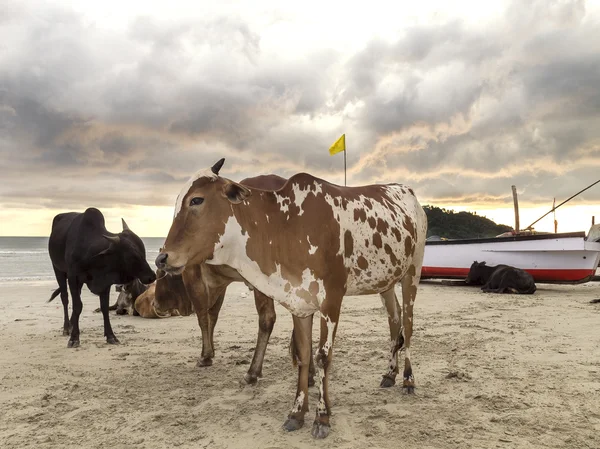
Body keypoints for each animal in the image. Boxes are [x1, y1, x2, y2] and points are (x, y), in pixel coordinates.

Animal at [48, 206, 156, 346]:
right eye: (132, 255)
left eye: (143, 252)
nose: (152, 276)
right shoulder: (73, 277)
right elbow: (77, 306)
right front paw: (74, 338)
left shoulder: (105, 283)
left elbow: (104, 308)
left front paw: (111, 336)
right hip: (58, 270)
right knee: (65, 298)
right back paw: (67, 328)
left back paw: (71, 324)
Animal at [155, 159, 426, 440]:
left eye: (196, 200)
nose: (162, 258)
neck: (286, 224)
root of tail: (407, 191)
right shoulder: (300, 303)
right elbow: (303, 354)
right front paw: (297, 412)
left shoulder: (331, 301)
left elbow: (323, 357)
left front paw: (322, 417)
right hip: (386, 282)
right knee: (394, 321)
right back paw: (390, 374)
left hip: (412, 272)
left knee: (408, 324)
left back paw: (408, 379)